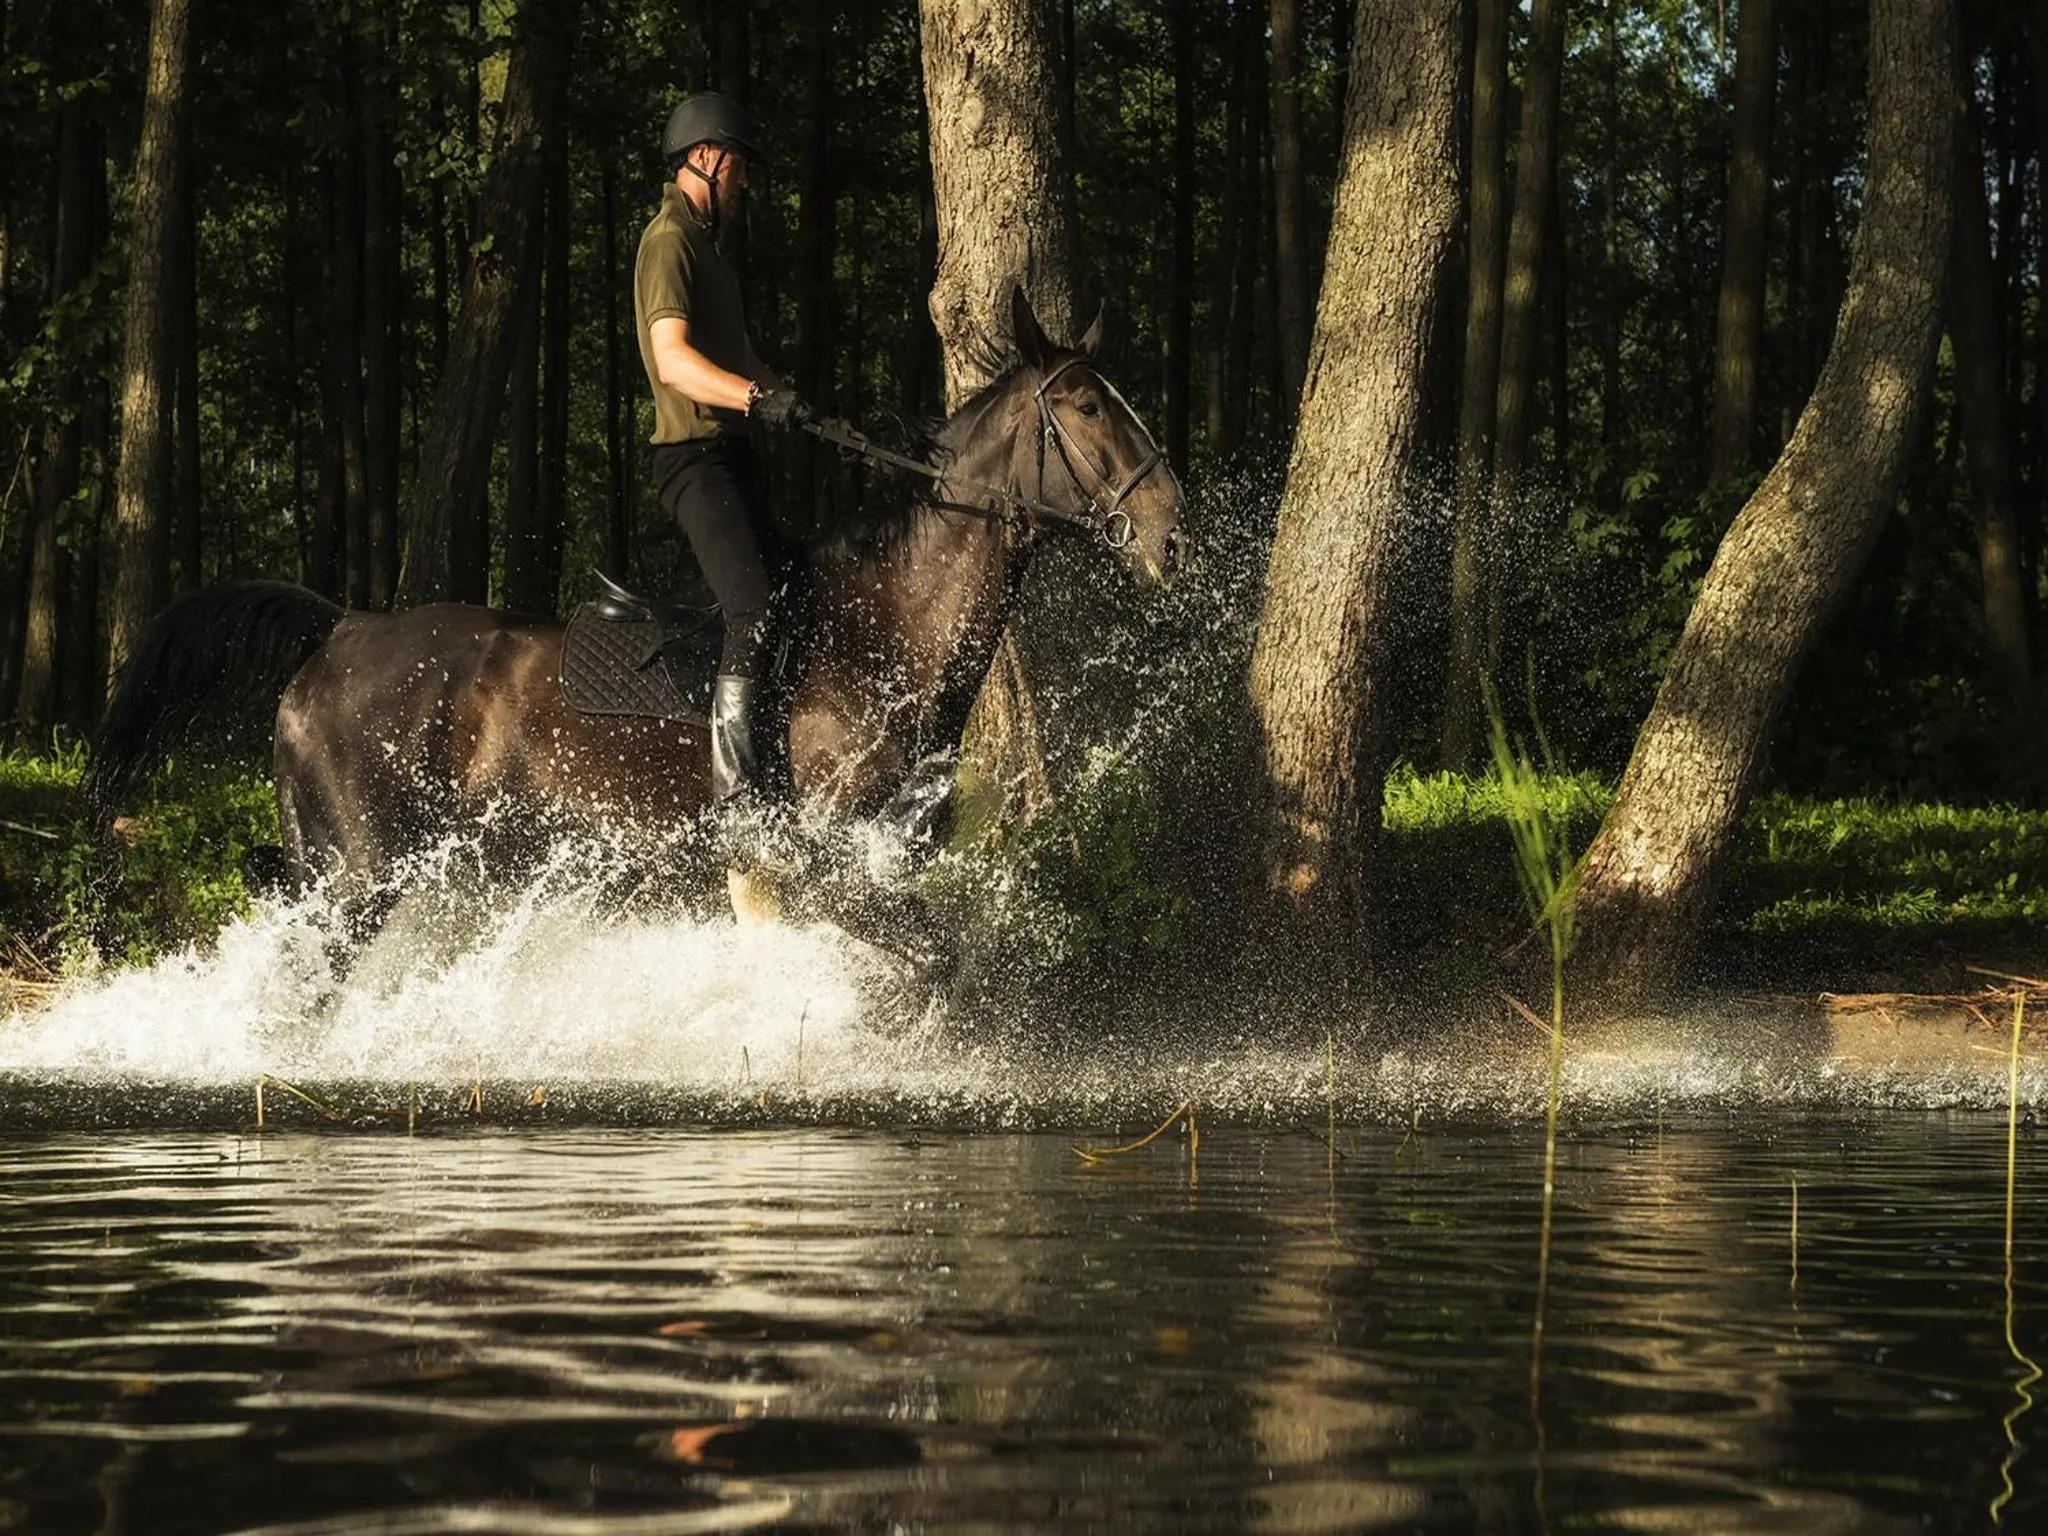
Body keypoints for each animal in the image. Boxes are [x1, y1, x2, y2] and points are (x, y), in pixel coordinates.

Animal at [87, 289, 1185, 943]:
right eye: (1087, 407)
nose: (1167, 534)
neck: (889, 629)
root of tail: (340, 629)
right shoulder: (837, 863)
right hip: (356, 876)